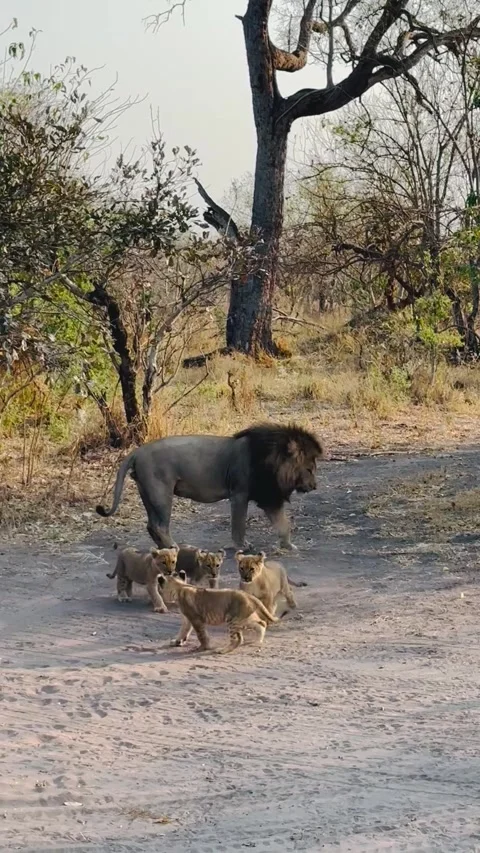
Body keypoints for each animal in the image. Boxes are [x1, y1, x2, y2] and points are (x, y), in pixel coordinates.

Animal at [96, 423, 324, 552]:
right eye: (309, 469)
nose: (314, 486)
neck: (272, 461)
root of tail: (137, 452)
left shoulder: (269, 497)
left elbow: (284, 524)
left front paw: (288, 546)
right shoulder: (239, 494)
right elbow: (238, 525)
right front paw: (241, 546)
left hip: (148, 494)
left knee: (151, 525)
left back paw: (163, 548)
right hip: (161, 493)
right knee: (159, 525)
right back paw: (173, 547)